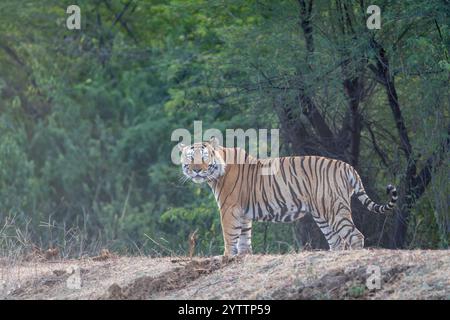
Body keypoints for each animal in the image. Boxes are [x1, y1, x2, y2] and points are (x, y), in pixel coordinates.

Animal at [179, 137, 398, 255]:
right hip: (322, 214)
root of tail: (346, 166)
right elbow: (244, 238)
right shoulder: (244, 213)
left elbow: (229, 236)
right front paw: (244, 256)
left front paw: (227, 256)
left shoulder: (229, 209)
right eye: (190, 158)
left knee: (355, 235)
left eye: (204, 157)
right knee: (336, 241)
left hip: (334, 209)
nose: (196, 170)